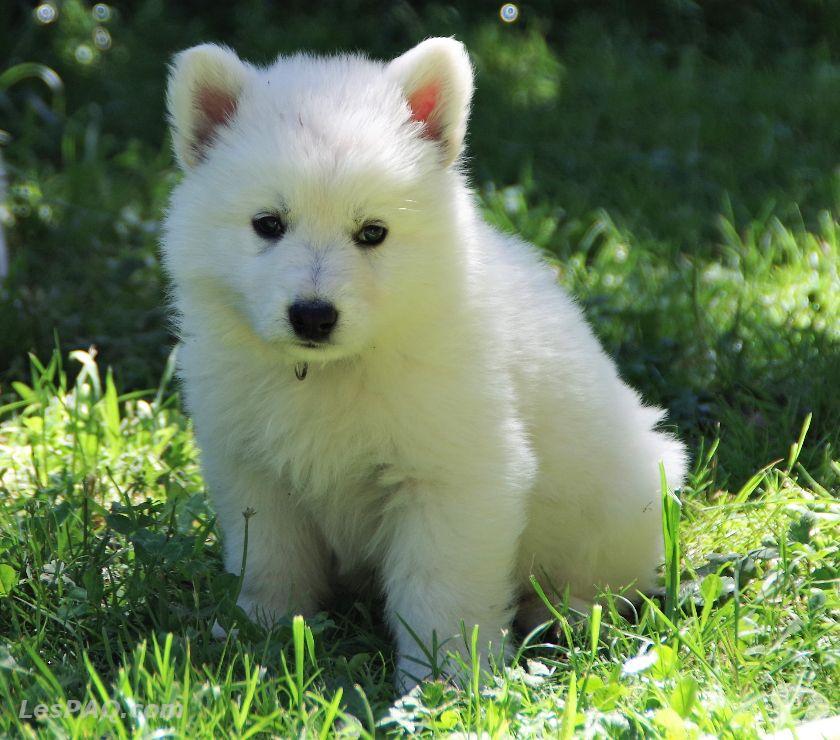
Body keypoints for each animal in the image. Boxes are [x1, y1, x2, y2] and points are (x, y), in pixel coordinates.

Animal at [161, 37, 684, 688]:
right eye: (268, 224)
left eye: (372, 232)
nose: (313, 316)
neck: (336, 370)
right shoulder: (255, 469)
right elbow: (272, 561)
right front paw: (261, 636)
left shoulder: (453, 476)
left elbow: (439, 588)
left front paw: (445, 679)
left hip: (622, 504)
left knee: (608, 587)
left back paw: (559, 616)